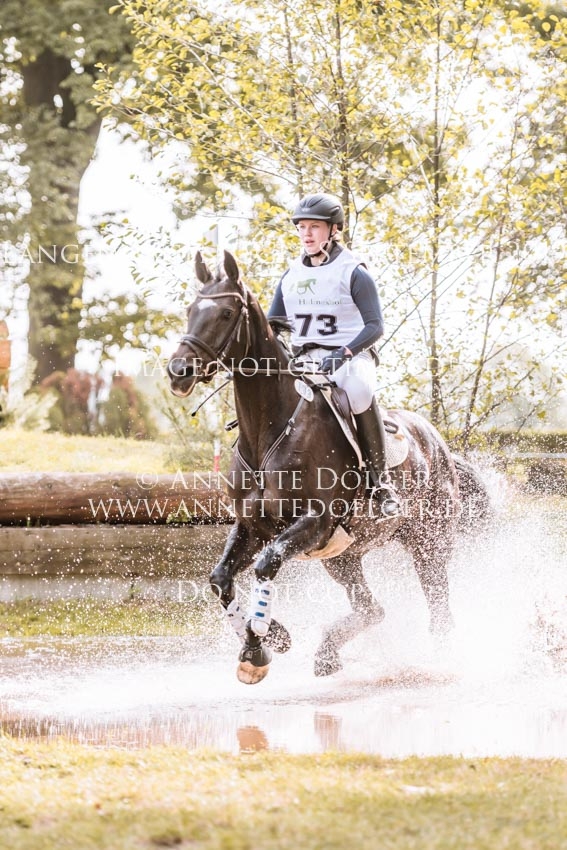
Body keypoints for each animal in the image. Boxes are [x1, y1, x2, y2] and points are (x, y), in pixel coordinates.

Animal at [167, 250, 490, 684]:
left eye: (226, 313)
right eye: (190, 311)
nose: (178, 372)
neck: (270, 430)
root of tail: (436, 441)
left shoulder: (315, 522)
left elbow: (267, 565)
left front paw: (259, 641)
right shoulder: (253, 526)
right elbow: (221, 579)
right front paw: (268, 641)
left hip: (430, 543)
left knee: (438, 607)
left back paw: (440, 661)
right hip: (343, 557)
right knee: (373, 608)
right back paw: (328, 654)